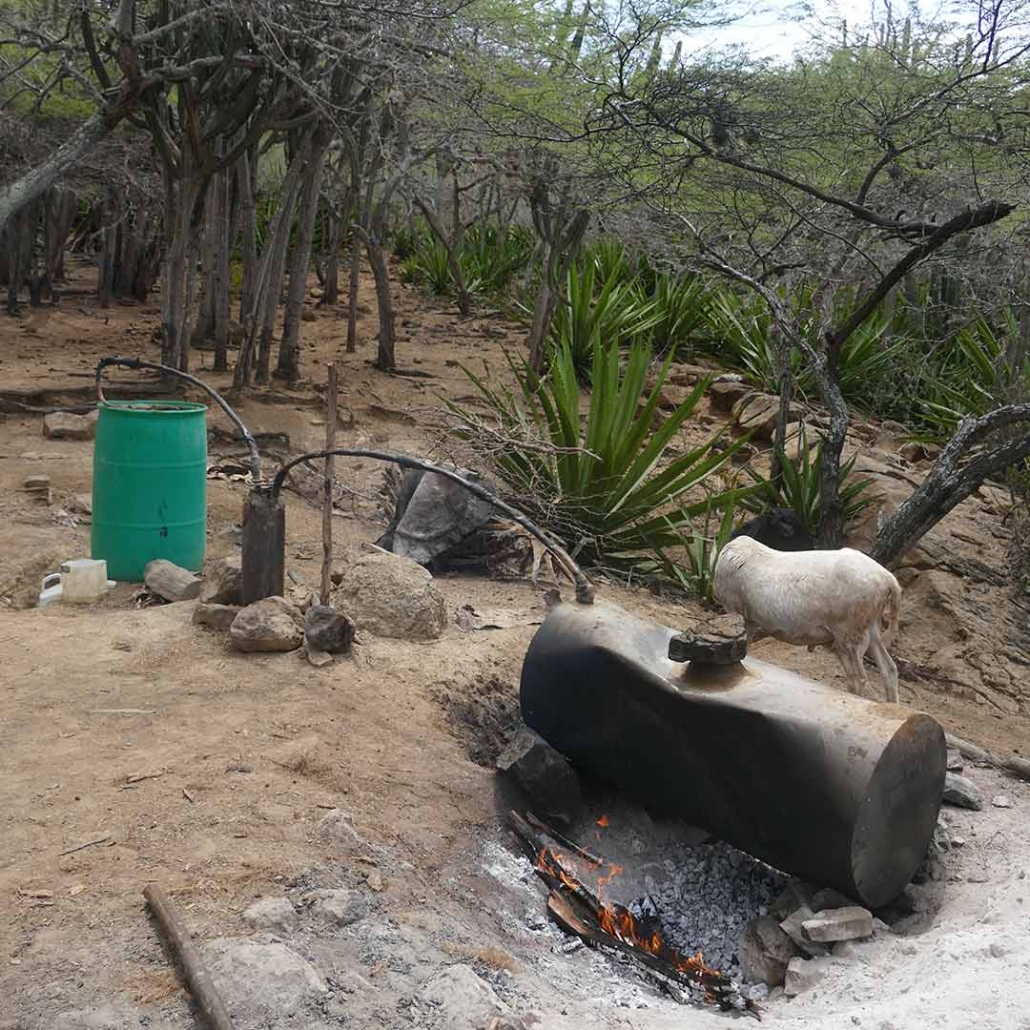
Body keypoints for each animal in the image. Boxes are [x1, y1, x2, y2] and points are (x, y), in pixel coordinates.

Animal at [713, 536, 901, 702]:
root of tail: (889, 581)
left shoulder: (736, 611)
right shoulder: (750, 621)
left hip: (849, 632)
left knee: (858, 678)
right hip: (870, 626)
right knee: (889, 669)